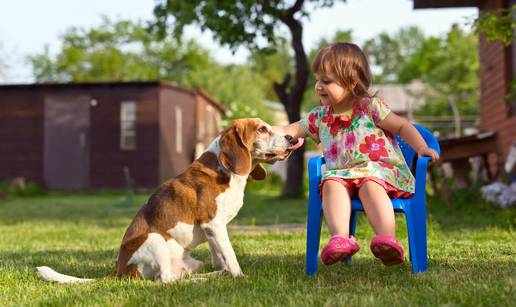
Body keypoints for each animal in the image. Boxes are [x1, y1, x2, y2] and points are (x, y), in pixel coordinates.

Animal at [37, 118, 302, 284]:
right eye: (262, 129)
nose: (291, 138)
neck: (224, 169)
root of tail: (119, 271)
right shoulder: (214, 225)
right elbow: (231, 257)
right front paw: (240, 279)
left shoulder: (213, 231)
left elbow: (220, 257)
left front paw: (225, 274)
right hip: (154, 239)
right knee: (165, 281)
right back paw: (199, 283)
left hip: (192, 262)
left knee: (179, 276)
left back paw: (209, 278)